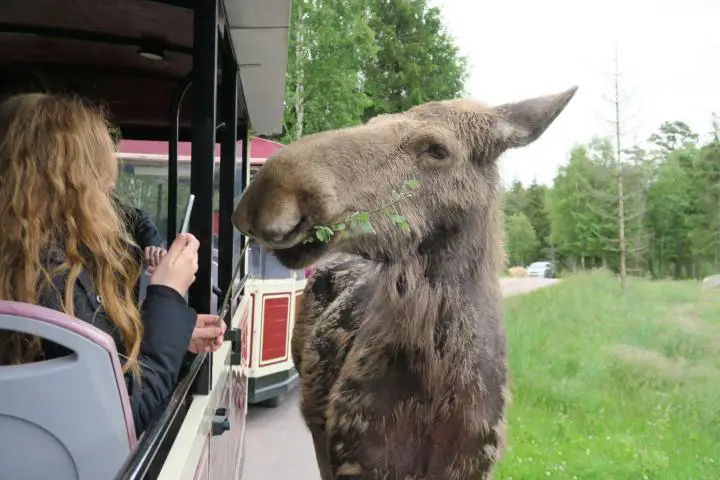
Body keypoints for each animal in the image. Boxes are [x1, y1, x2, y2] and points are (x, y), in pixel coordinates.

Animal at [233, 87, 576, 480]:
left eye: (438, 149)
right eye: (374, 121)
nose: (268, 191)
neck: (433, 389)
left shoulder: (473, 466)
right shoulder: (356, 459)